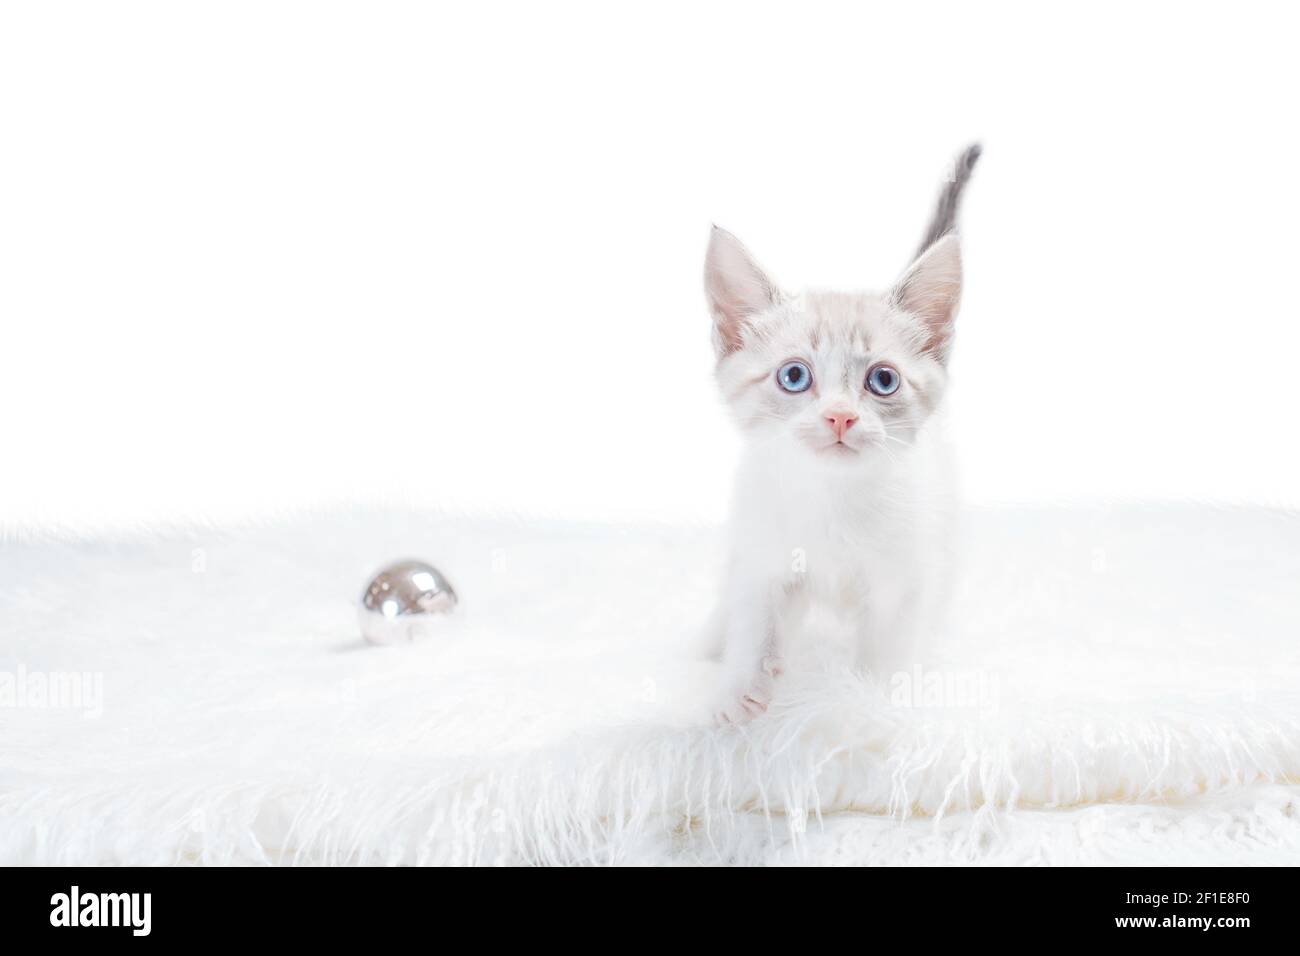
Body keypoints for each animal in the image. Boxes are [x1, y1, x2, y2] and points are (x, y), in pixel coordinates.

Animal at [707, 143, 977, 723]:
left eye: (883, 380)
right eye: (794, 376)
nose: (839, 417)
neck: (832, 499)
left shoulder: (903, 578)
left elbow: (885, 649)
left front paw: (866, 704)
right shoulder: (763, 551)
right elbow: (753, 612)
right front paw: (740, 687)